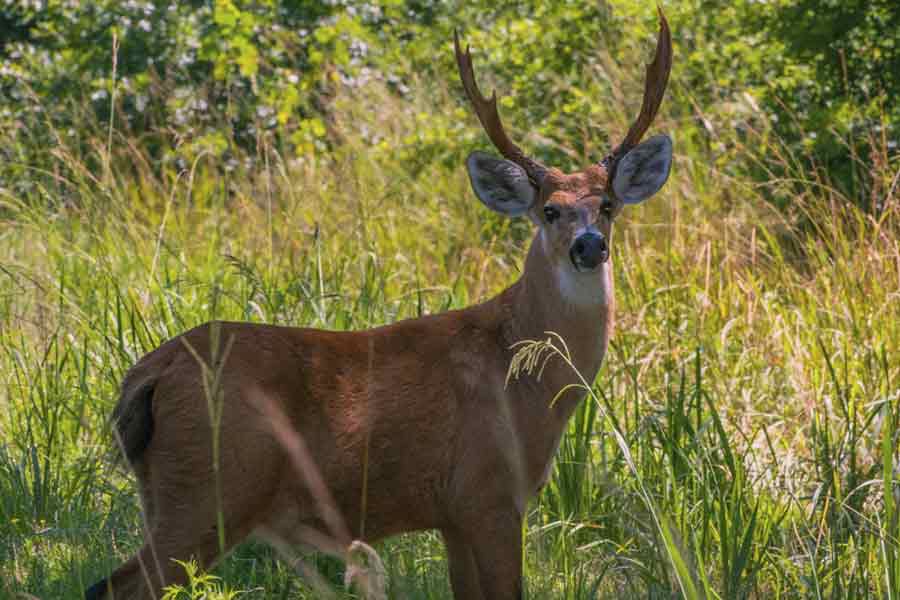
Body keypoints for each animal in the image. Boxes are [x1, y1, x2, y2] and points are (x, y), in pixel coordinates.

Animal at [86, 10, 676, 600]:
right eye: (550, 211)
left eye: (607, 205)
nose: (589, 246)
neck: (522, 374)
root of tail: (148, 374)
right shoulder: (489, 492)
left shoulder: (452, 514)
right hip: (210, 489)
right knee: (118, 585)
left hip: (168, 492)